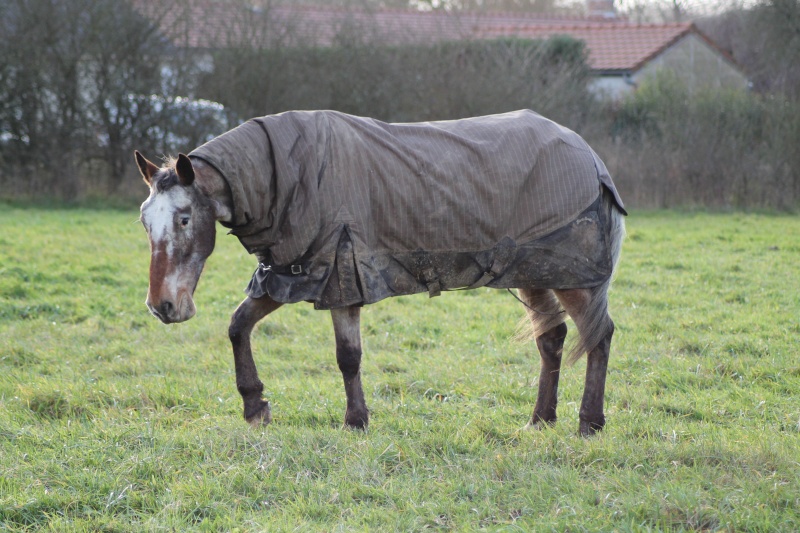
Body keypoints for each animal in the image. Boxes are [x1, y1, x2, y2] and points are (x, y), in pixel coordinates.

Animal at [136, 109, 624, 436]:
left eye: (184, 218)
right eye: (144, 219)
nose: (163, 307)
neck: (288, 174)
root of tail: (592, 158)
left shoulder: (341, 278)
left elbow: (347, 356)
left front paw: (355, 421)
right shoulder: (288, 274)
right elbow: (238, 326)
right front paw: (255, 406)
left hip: (572, 277)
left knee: (598, 337)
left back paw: (589, 423)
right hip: (537, 271)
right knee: (553, 339)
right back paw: (540, 419)